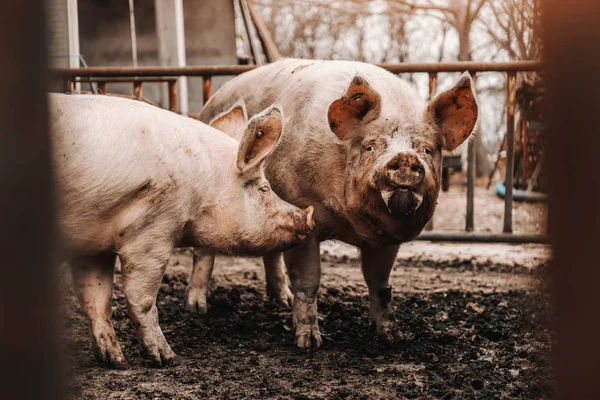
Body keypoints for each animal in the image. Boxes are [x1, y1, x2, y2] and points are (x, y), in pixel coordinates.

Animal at [50, 94, 314, 368]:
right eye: (264, 188)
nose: (308, 216)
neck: (206, 184)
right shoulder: (154, 229)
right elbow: (141, 298)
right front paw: (167, 358)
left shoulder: (94, 245)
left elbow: (96, 299)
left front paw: (117, 362)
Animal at [197, 57, 478, 348]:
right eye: (370, 147)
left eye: (426, 150)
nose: (405, 157)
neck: (350, 226)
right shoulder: (302, 212)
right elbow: (308, 282)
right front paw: (309, 343)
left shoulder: (386, 240)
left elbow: (380, 284)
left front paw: (393, 337)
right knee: (204, 251)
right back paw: (198, 308)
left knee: (271, 254)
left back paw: (282, 302)